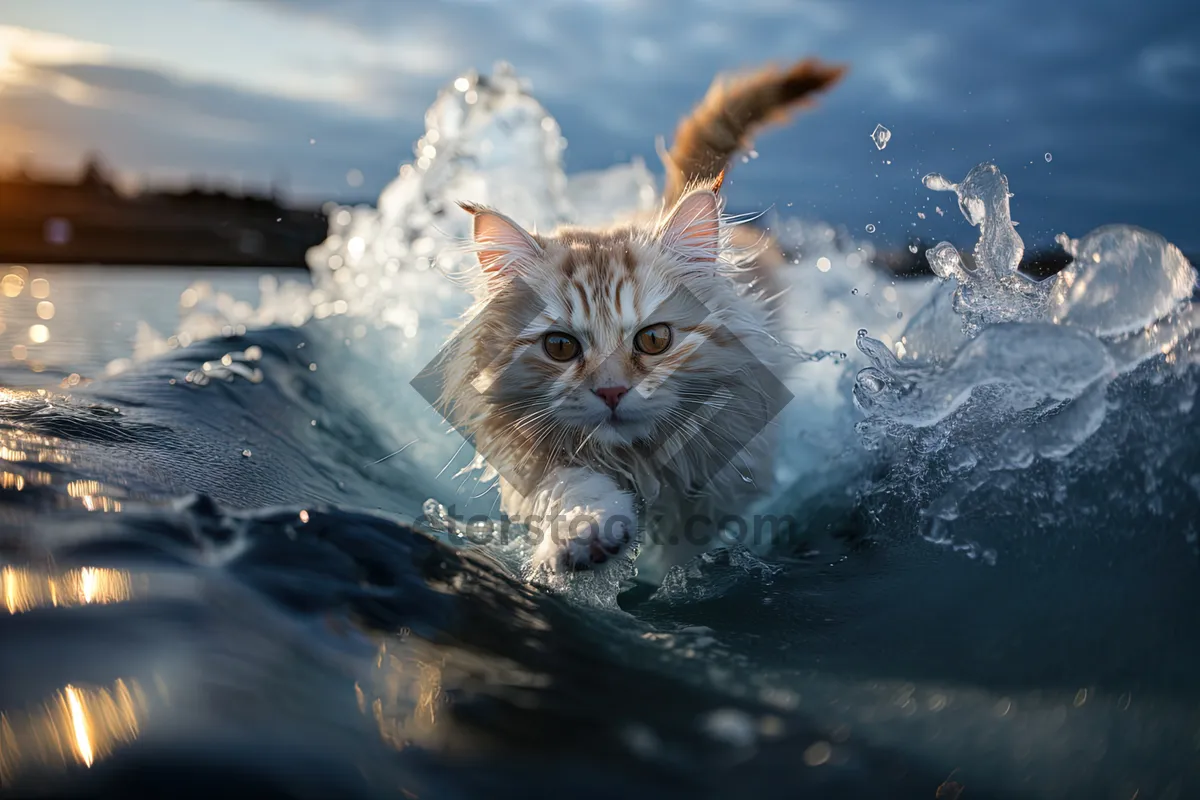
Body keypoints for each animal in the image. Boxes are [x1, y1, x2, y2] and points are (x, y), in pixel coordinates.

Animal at [439, 57, 844, 582]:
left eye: (654, 340)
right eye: (560, 347)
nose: (612, 392)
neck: (636, 462)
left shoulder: (723, 475)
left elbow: (684, 549)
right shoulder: (537, 457)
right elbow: (574, 489)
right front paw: (581, 540)